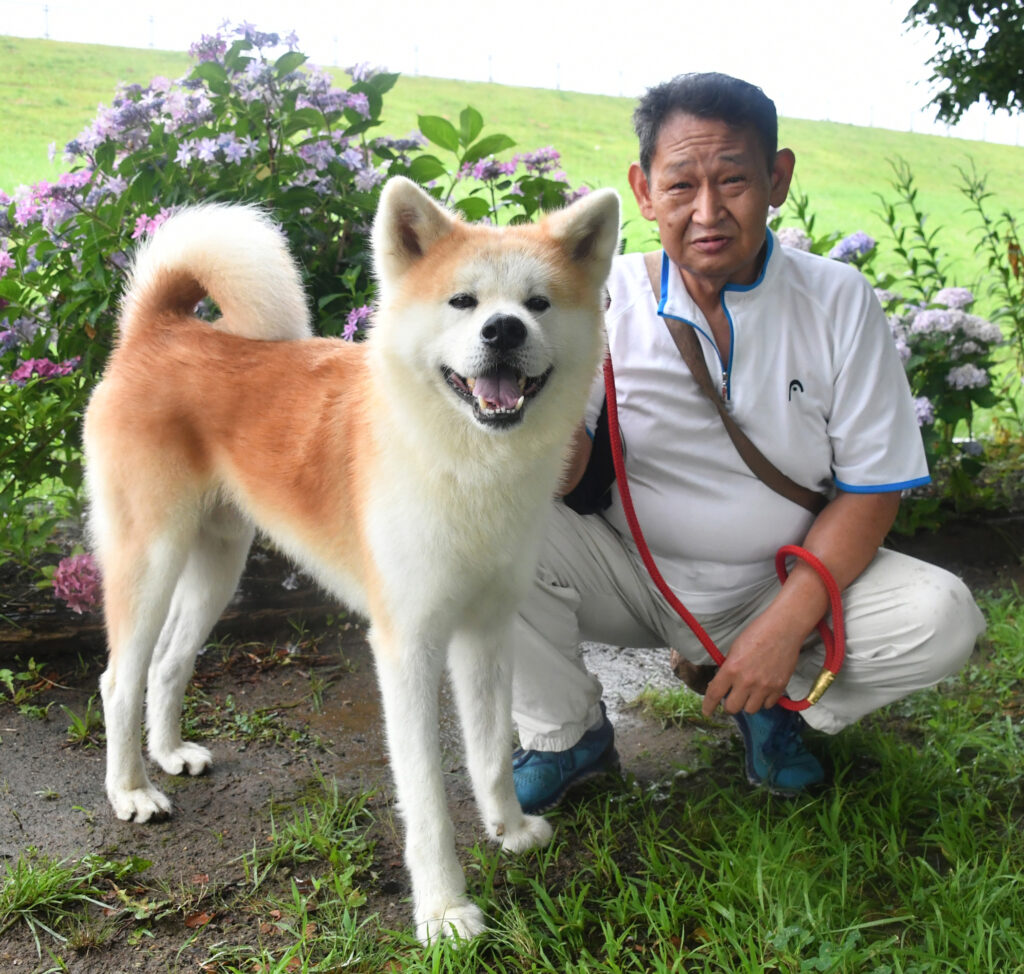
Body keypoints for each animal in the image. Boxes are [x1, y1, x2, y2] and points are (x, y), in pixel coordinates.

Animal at [83, 177, 618, 946]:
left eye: (539, 303)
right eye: (463, 301)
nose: (505, 331)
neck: (463, 461)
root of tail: (160, 330)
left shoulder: (487, 635)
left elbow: (489, 754)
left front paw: (509, 828)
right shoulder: (407, 649)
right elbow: (426, 800)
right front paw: (443, 911)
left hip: (218, 564)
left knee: (167, 664)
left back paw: (170, 755)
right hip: (150, 559)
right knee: (119, 680)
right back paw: (130, 789)